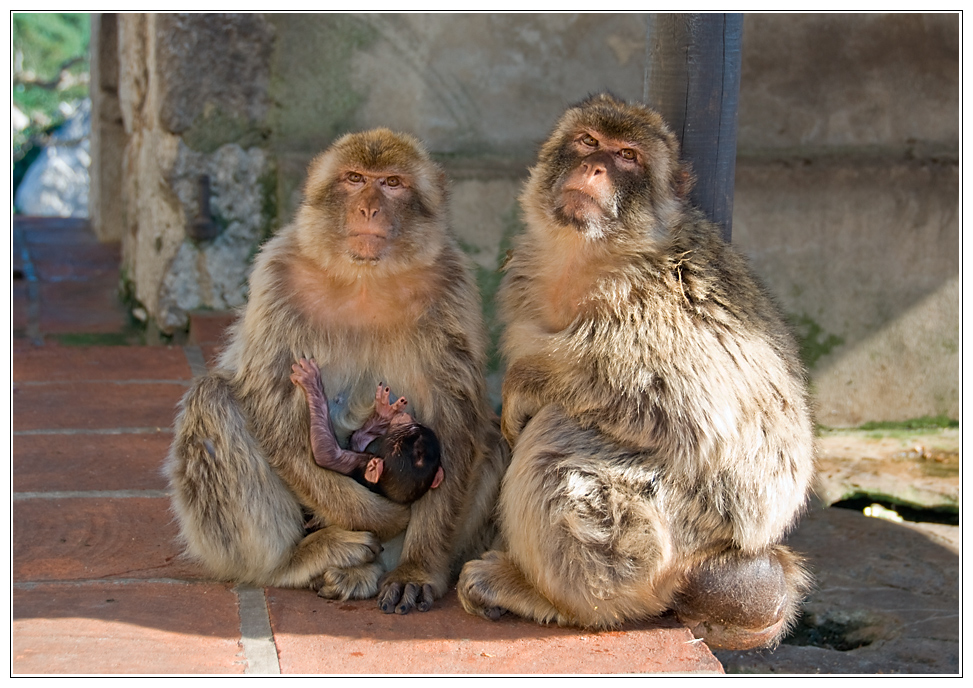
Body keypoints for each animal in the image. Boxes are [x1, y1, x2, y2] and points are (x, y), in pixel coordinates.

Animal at [288, 358, 440, 502]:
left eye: (408, 431)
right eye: (418, 428)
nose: (407, 417)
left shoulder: (361, 463)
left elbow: (327, 454)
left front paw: (311, 382)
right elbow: (356, 442)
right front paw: (382, 416)